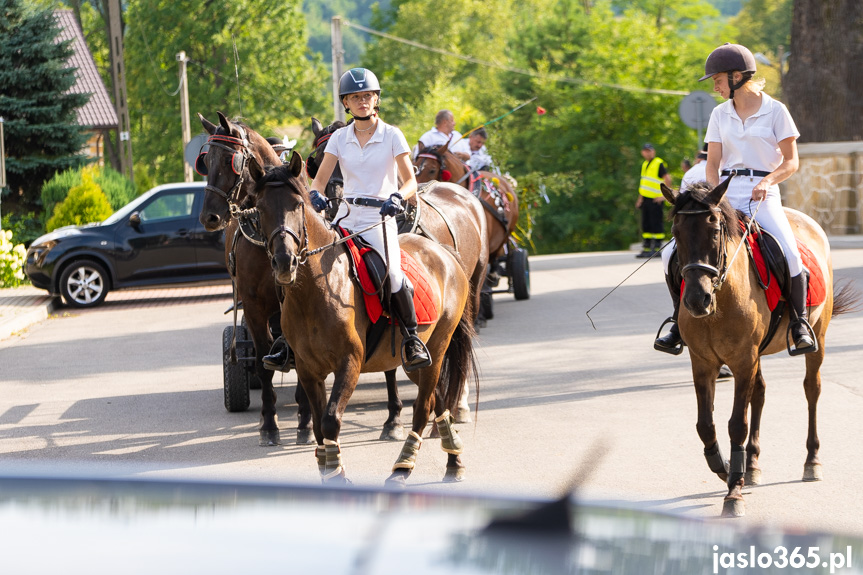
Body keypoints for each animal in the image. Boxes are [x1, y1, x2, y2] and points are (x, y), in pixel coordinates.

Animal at [250, 161, 480, 486]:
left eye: (297, 205)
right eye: (260, 208)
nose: (285, 262)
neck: (315, 290)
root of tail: (442, 251)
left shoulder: (350, 363)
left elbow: (330, 420)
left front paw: (336, 475)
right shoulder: (308, 369)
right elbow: (318, 426)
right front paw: (330, 469)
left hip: (437, 349)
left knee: (423, 408)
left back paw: (402, 468)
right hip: (415, 365)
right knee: (438, 400)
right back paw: (453, 462)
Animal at [660, 179, 856, 516]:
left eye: (715, 230)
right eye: (676, 232)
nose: (697, 300)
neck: (721, 299)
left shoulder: (742, 360)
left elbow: (737, 424)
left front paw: (733, 492)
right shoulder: (703, 362)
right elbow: (705, 425)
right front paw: (727, 468)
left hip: (817, 337)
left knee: (812, 390)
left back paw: (812, 461)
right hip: (756, 356)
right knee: (760, 395)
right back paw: (751, 464)